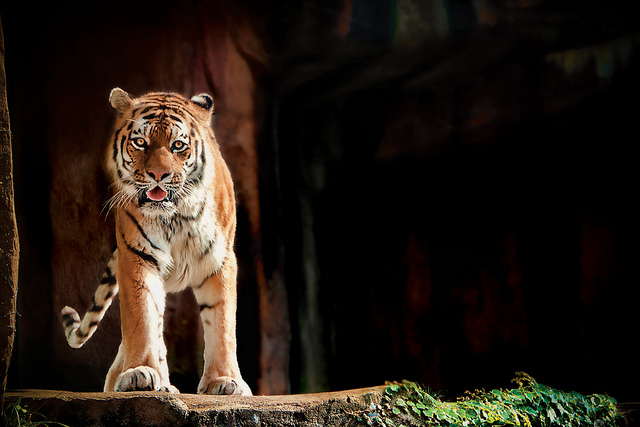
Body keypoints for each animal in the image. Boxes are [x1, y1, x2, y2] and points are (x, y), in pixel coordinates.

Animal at [60, 88, 252, 396]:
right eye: (140, 142)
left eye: (177, 145)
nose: (159, 175)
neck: (176, 217)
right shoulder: (136, 257)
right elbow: (142, 319)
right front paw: (140, 372)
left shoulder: (219, 260)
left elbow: (221, 323)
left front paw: (225, 380)